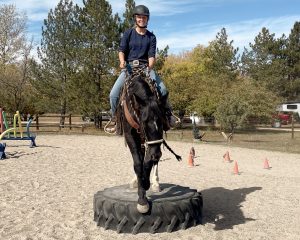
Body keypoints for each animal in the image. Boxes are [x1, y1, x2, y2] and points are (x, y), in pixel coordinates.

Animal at [116, 66, 180, 214]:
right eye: (144, 121)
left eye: (162, 120)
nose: (156, 154)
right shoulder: (130, 135)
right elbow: (138, 164)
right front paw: (142, 195)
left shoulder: (154, 143)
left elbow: (147, 162)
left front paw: (146, 185)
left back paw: (155, 182)